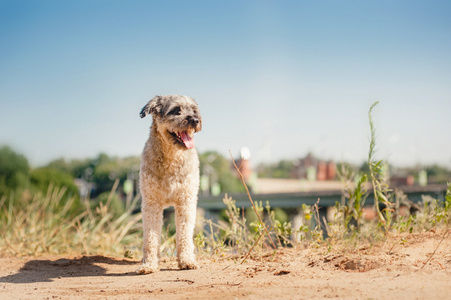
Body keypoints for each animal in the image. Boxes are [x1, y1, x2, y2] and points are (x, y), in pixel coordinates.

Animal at [136, 94, 203, 274]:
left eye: (194, 110)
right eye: (175, 110)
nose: (195, 120)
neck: (171, 158)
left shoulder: (186, 202)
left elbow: (184, 234)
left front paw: (186, 260)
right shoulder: (151, 204)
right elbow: (150, 238)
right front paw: (149, 264)